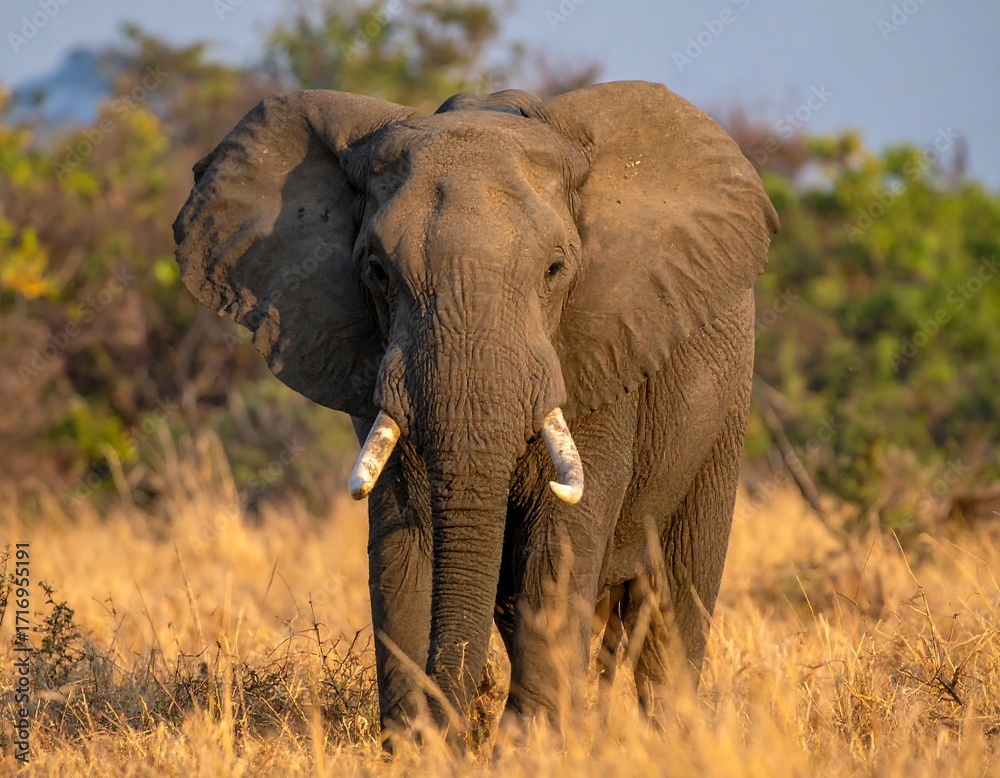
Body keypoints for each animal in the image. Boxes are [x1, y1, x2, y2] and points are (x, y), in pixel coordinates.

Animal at [172, 80, 779, 745]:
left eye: (555, 269)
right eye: (377, 272)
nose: (455, 729)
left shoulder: (601, 345)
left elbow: (561, 537)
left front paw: (532, 746)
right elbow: (404, 543)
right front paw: (418, 744)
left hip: (725, 402)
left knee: (675, 588)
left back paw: (668, 738)